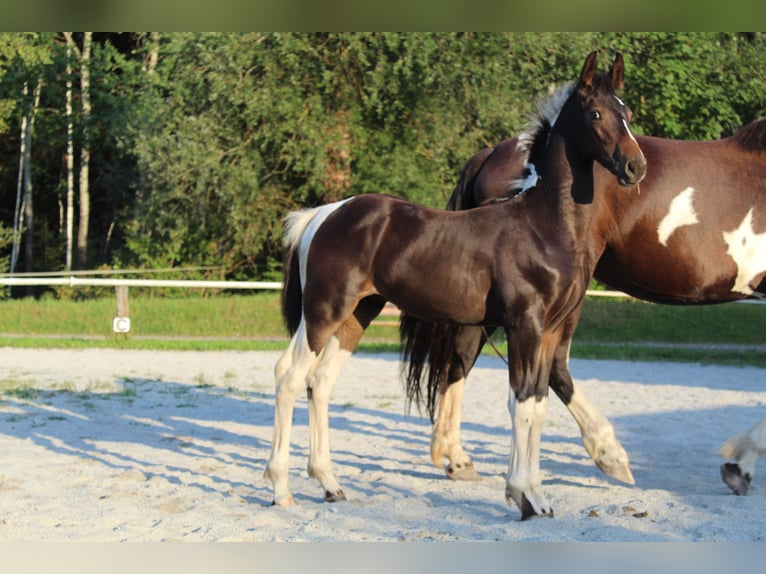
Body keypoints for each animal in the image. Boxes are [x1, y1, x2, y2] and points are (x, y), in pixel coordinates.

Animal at [264, 50, 647, 520]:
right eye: (596, 114)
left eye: (627, 113)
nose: (636, 167)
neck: (544, 227)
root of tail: (323, 214)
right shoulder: (525, 325)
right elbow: (521, 404)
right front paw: (523, 495)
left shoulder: (551, 330)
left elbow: (538, 404)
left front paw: (538, 499)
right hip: (323, 311)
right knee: (289, 376)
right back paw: (281, 489)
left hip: (357, 314)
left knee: (321, 383)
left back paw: (330, 484)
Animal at [400, 67, 766, 497]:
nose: (633, 168)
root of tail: (492, 153)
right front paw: (740, 466)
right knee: (542, 363)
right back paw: (607, 453)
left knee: (468, 353)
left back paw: (456, 458)